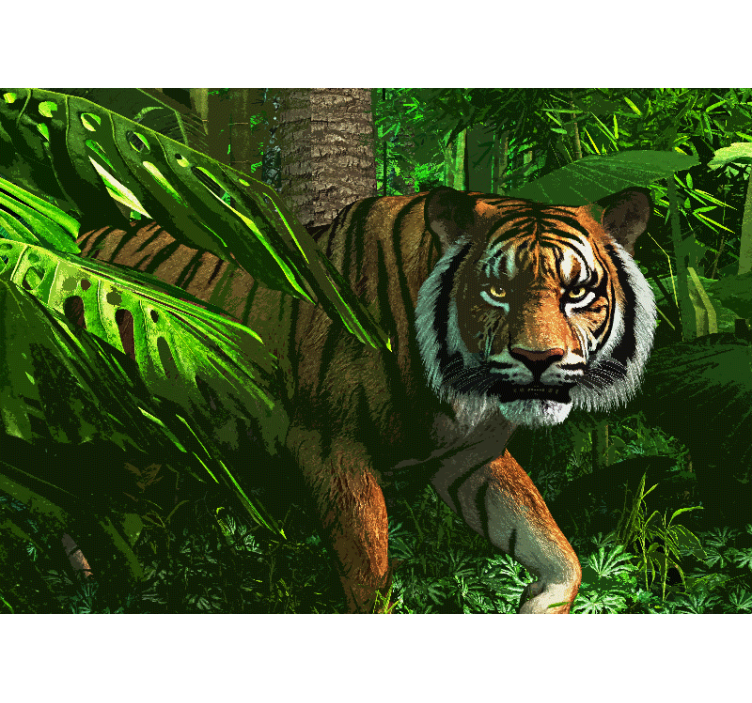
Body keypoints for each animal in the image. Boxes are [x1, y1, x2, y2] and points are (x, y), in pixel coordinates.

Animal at [76, 186, 656, 613]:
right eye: (497, 291)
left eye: (576, 292)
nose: (540, 358)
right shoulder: (332, 450)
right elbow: (369, 578)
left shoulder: (469, 459)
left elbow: (555, 551)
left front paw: (537, 604)